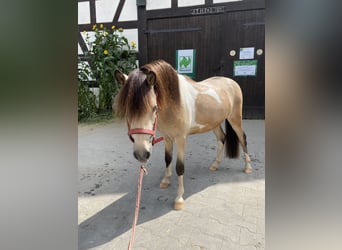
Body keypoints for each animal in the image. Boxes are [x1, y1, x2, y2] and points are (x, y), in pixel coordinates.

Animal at [114, 59, 251, 210]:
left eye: (154, 108)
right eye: (127, 109)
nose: (141, 154)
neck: (173, 104)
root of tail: (231, 82)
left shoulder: (180, 139)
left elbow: (179, 167)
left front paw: (179, 199)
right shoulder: (167, 137)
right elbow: (167, 159)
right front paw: (166, 181)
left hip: (235, 119)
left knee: (243, 139)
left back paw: (247, 167)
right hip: (214, 123)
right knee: (222, 139)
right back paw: (215, 165)